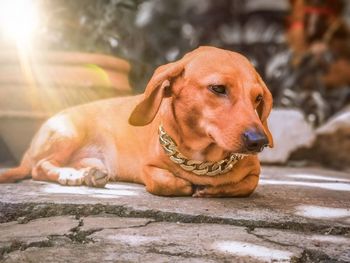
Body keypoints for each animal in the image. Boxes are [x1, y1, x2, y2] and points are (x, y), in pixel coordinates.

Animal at [0, 46, 274, 197]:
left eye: (258, 98)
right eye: (218, 88)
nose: (259, 141)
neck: (203, 158)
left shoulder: (255, 175)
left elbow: (246, 185)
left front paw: (213, 189)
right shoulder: (148, 168)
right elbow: (164, 182)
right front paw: (187, 185)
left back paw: (89, 173)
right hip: (67, 133)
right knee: (39, 167)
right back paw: (70, 174)